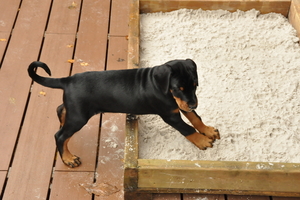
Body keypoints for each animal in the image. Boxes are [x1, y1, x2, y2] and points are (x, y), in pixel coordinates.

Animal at [28, 59, 219, 167]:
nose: (194, 103)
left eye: (195, 85)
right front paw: (202, 140)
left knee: (61, 109)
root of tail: (67, 80)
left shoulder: (180, 106)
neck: (162, 87)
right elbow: (187, 128)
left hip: (75, 110)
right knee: (60, 136)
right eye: (178, 88)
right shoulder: (170, 114)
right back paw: (68, 158)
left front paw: (208, 130)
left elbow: (196, 118)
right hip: (79, 117)